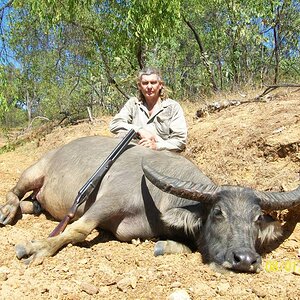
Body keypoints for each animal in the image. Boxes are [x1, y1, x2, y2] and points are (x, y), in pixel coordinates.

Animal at [0, 136, 300, 272]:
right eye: (218, 212)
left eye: (257, 218)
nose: (245, 260)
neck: (156, 200)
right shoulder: (106, 202)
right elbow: (78, 229)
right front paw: (35, 248)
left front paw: (163, 247)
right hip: (34, 171)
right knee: (15, 192)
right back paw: (6, 212)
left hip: (39, 199)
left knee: (31, 205)